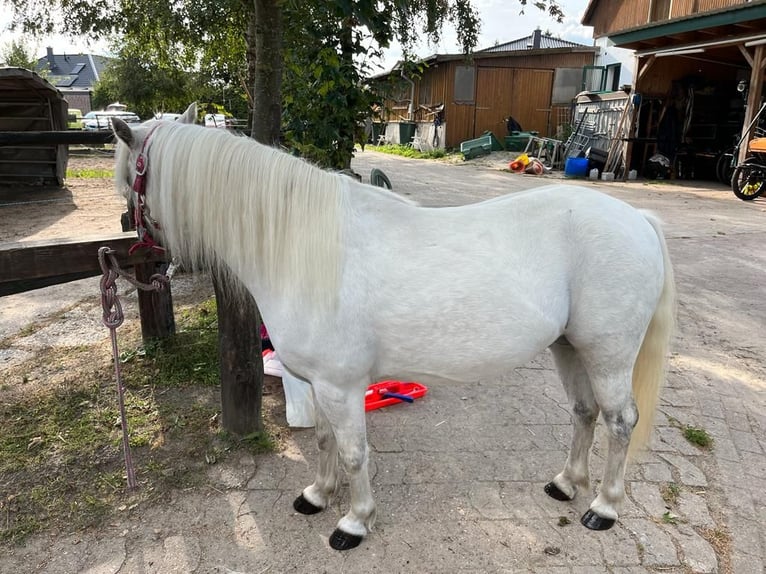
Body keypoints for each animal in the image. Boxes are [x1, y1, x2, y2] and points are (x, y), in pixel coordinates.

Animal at [109, 103, 680, 552]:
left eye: (127, 182)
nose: (135, 251)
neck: (302, 245)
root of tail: (639, 219)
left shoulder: (341, 387)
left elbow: (354, 453)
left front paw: (354, 523)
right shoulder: (322, 385)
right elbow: (324, 441)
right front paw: (317, 495)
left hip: (608, 354)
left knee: (620, 421)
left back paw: (603, 507)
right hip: (569, 347)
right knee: (585, 413)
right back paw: (565, 484)